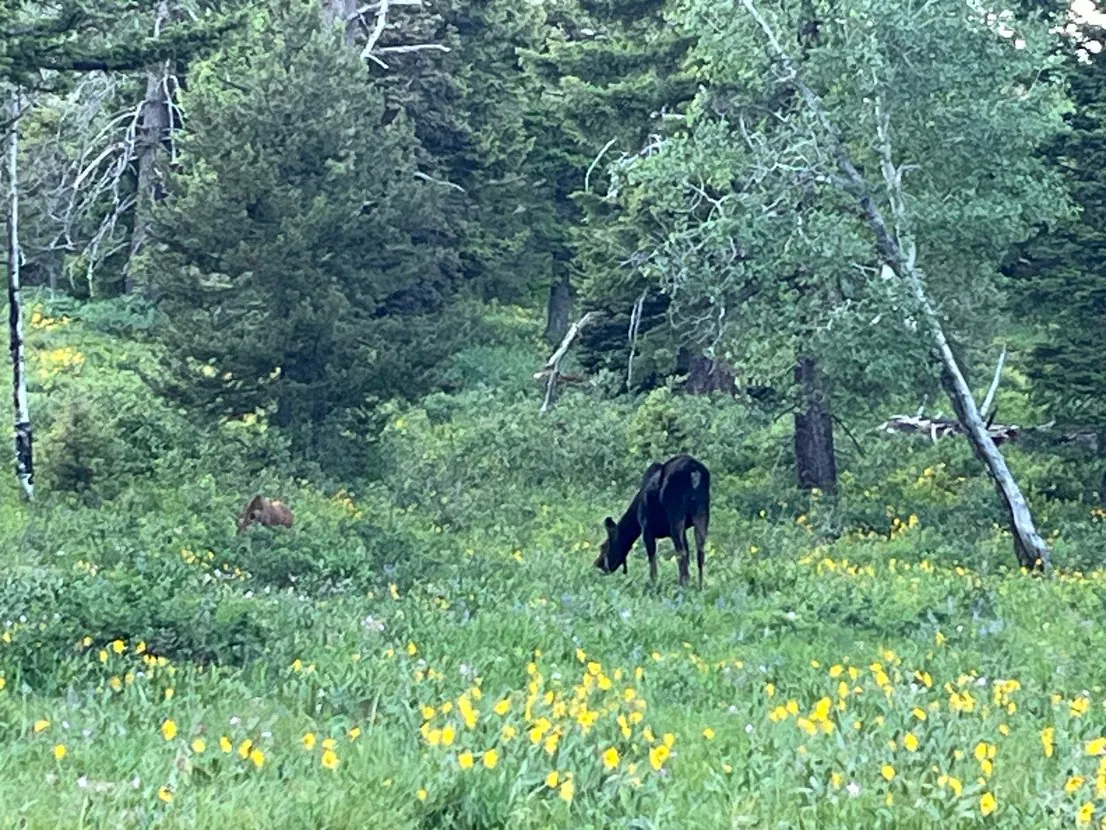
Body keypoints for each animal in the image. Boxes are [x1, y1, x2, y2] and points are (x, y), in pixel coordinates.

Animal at [594, 453, 711, 588]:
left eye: (603, 546)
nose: (597, 563)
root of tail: (694, 471)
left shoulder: (646, 527)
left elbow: (652, 559)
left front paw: (653, 585)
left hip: (676, 513)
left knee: (681, 553)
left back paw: (682, 585)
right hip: (702, 511)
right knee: (700, 551)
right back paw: (700, 586)